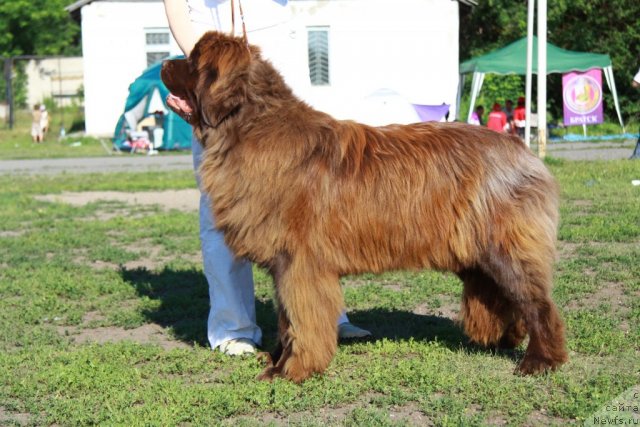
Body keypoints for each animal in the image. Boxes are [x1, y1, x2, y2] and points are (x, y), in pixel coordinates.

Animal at [162, 31, 568, 382]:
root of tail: (520, 149)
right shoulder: (285, 264)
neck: (247, 127)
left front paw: (293, 370)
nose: (164, 62)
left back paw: (540, 360)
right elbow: (286, 319)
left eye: (193, 60)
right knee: (503, 296)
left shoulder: (299, 262)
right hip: (478, 254)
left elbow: (301, 317)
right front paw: (279, 361)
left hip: (503, 245)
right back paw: (505, 340)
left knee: (536, 302)